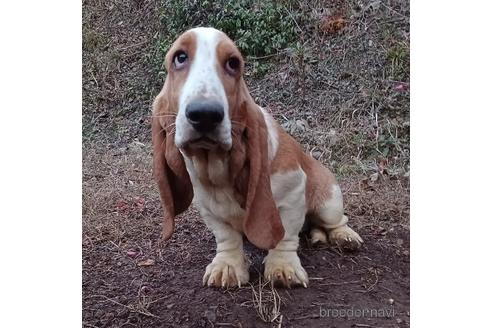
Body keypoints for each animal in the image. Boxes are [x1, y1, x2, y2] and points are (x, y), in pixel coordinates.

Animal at [151, 28, 362, 290]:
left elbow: (285, 235)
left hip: (329, 200)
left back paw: (345, 236)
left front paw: (283, 267)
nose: (205, 114)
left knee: (336, 220)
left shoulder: (292, 193)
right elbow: (226, 237)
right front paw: (228, 266)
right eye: (179, 58)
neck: (217, 167)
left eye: (233, 63)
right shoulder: (208, 209)